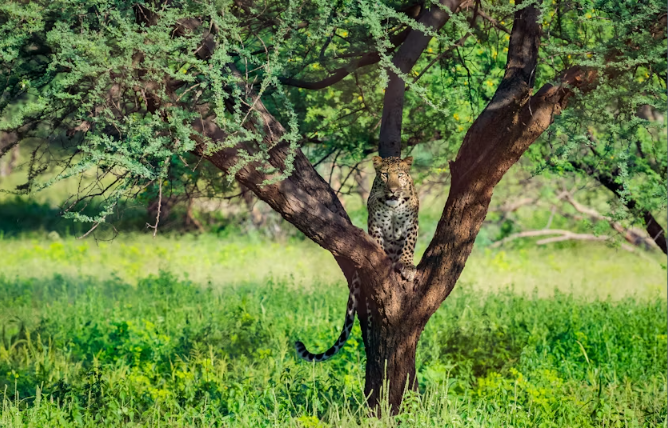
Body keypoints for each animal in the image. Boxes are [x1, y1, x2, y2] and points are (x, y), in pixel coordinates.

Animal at [295, 156, 419, 362]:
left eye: (400, 175)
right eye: (385, 175)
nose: (393, 190)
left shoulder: (411, 223)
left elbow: (409, 244)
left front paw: (408, 266)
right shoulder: (375, 225)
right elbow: (378, 247)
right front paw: (382, 263)